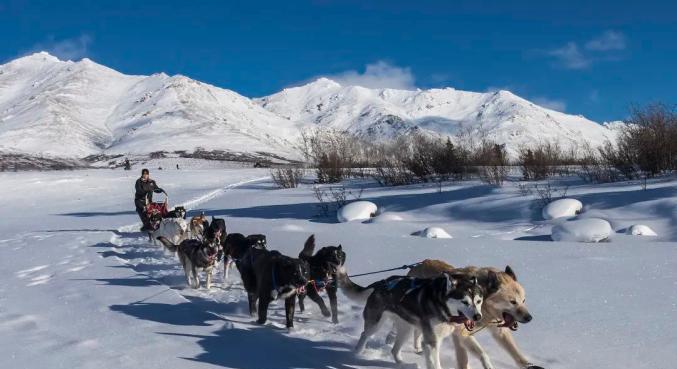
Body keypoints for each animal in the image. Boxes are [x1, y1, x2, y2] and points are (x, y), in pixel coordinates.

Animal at [406, 258, 540, 368]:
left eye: (523, 300)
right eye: (512, 302)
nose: (529, 318)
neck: (483, 305)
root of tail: (418, 265)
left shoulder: (499, 331)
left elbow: (517, 354)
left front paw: (528, 365)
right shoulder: (461, 334)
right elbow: (476, 356)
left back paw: (418, 348)